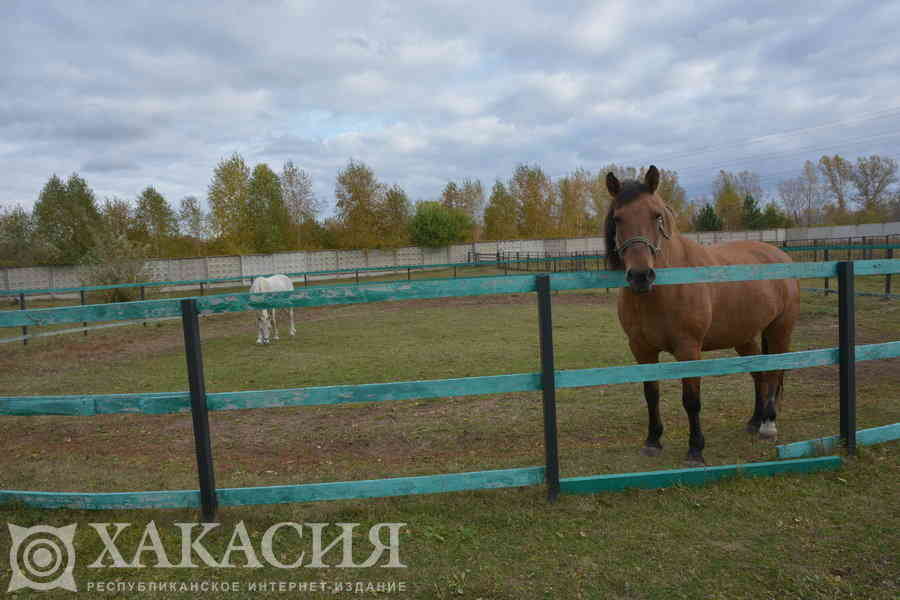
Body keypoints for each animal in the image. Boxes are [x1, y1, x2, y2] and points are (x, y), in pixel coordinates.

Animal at [608, 166, 800, 466]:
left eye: (657, 216)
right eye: (618, 218)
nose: (640, 276)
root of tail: (778, 254)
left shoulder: (689, 349)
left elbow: (691, 400)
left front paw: (695, 450)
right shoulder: (641, 349)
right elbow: (651, 394)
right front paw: (652, 441)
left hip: (780, 330)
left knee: (774, 372)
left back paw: (768, 425)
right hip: (744, 337)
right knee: (758, 374)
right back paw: (755, 421)